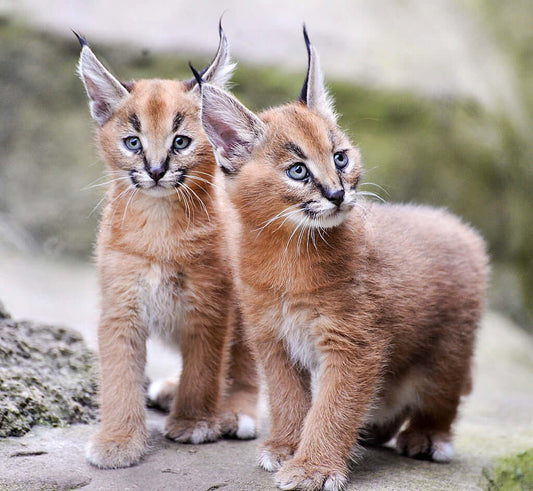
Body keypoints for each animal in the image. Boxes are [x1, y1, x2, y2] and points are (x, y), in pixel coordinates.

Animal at [76, 27, 258, 472]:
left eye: (181, 141)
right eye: (132, 142)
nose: (156, 170)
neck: (159, 223)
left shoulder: (210, 302)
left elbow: (205, 366)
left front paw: (194, 422)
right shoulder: (120, 303)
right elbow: (119, 376)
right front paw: (118, 440)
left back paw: (235, 411)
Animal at [195, 29, 486, 491]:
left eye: (340, 158)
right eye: (297, 170)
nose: (336, 194)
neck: (286, 250)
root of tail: (456, 224)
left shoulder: (354, 343)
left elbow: (333, 407)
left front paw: (313, 468)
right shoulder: (272, 337)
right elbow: (288, 398)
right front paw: (286, 447)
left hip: (448, 351)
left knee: (442, 394)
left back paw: (426, 437)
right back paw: (375, 430)